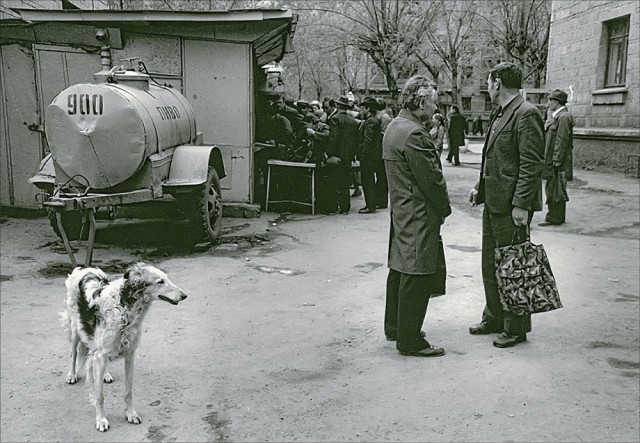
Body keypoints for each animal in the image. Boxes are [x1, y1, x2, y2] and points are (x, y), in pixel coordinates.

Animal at [62, 262, 188, 432]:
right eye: (160, 281)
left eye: (167, 278)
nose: (184, 295)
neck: (124, 306)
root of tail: (85, 268)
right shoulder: (101, 354)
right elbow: (99, 396)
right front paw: (101, 420)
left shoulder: (129, 354)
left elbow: (128, 391)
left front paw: (131, 414)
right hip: (76, 329)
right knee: (73, 354)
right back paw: (72, 375)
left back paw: (106, 375)